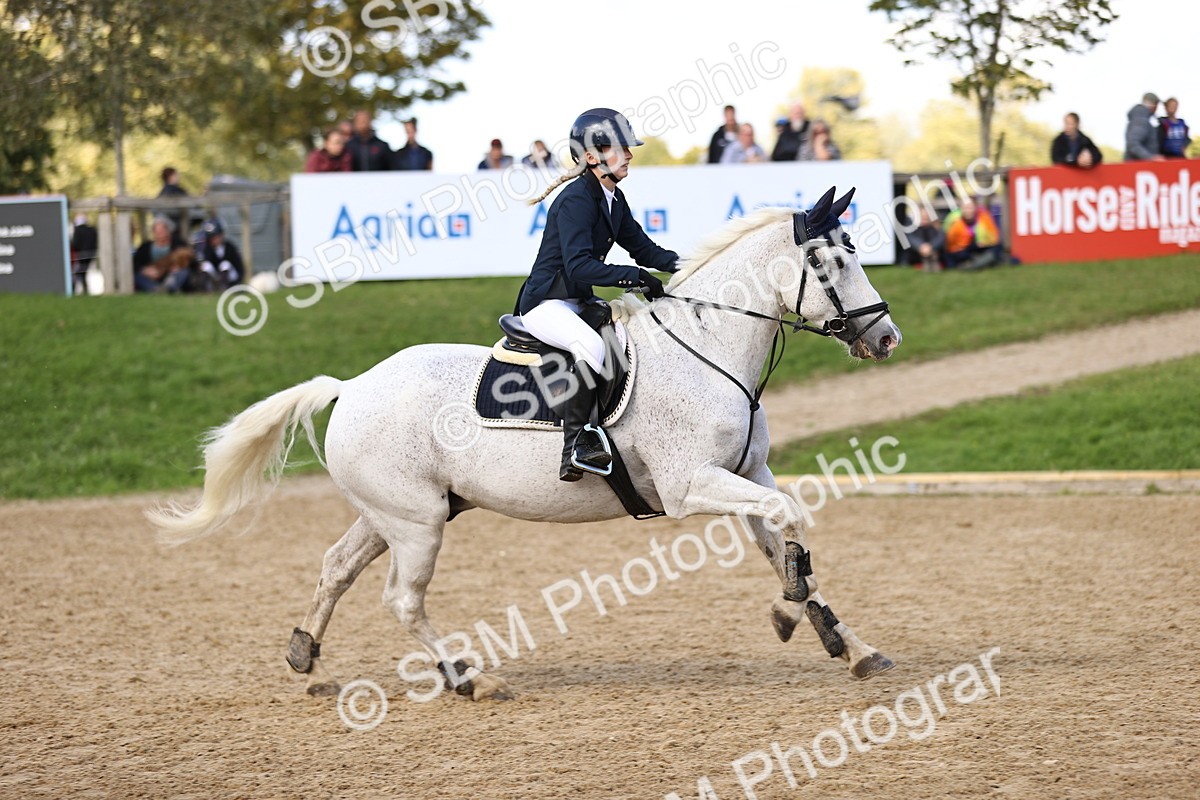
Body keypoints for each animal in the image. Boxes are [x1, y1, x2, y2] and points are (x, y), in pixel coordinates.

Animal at [148, 186, 903, 701]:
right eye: (830, 262)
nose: (887, 337)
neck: (709, 347)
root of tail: (353, 385)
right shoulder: (693, 487)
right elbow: (793, 528)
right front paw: (787, 612)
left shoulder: (751, 475)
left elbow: (788, 540)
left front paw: (847, 643)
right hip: (417, 524)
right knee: (402, 599)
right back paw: (466, 678)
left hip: (398, 512)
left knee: (337, 566)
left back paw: (306, 655)